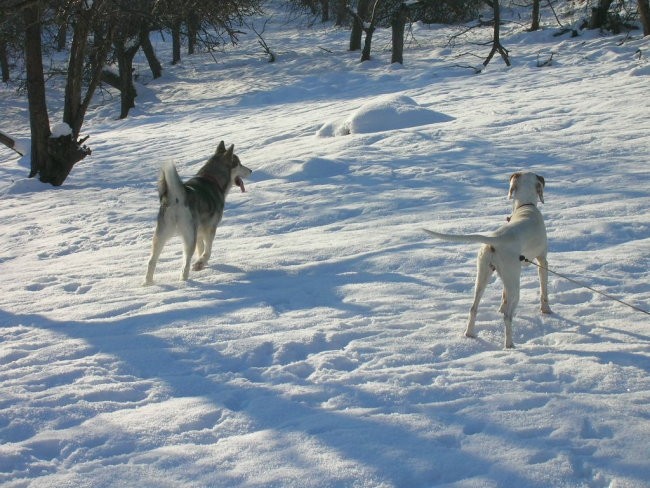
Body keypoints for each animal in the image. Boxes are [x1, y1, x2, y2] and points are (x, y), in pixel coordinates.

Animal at [422, 173, 548, 348]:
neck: (525, 206)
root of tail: (496, 239)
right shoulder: (542, 260)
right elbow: (544, 291)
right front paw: (546, 310)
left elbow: (503, 297)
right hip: (514, 284)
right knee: (508, 317)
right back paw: (509, 345)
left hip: (483, 276)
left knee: (473, 308)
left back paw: (469, 334)